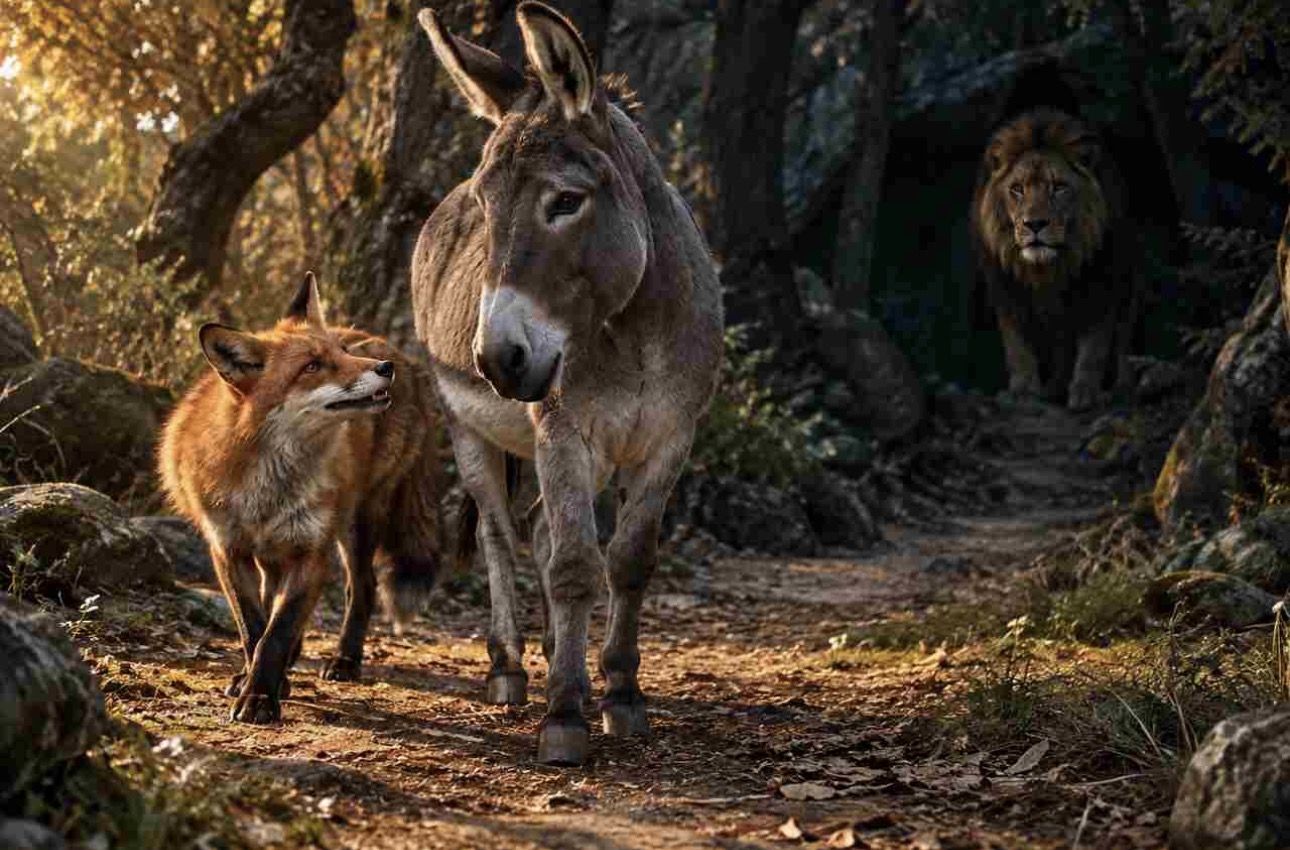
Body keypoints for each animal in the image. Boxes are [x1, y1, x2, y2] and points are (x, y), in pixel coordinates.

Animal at [159, 273, 444, 724]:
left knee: (361, 588)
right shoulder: (228, 550)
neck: (266, 484)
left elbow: (275, 633)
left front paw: (260, 697)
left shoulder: (311, 548)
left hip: (356, 523)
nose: (385, 370)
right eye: (312, 366)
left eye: (342, 353)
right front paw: (256, 681)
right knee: (280, 598)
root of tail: (395, 349)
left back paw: (345, 660)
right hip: (281, 550)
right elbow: (254, 627)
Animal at [971, 108, 1136, 410]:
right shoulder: (1007, 290)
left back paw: (1123, 387)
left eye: (1059, 187)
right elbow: (1017, 346)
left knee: (1124, 337)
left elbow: (1094, 346)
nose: (1035, 224)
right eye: (1017, 189)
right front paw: (1023, 392)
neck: (1048, 269)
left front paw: (1086, 393)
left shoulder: (1101, 285)